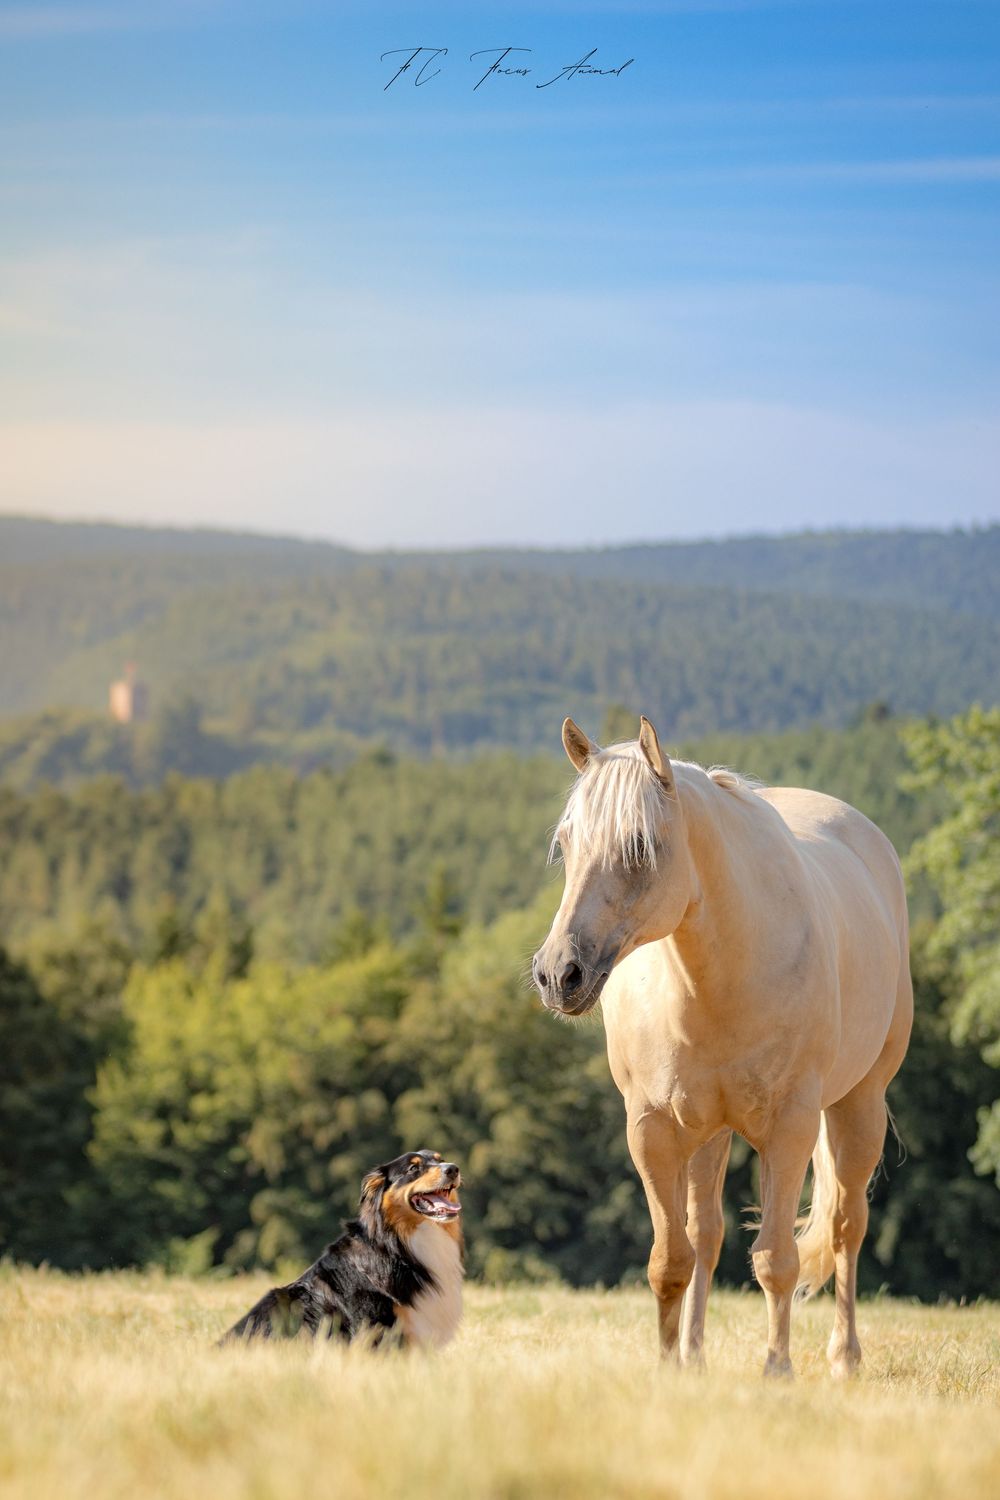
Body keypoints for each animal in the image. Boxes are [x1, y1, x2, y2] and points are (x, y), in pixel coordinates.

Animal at [532, 715, 912, 1378]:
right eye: (566, 844)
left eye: (640, 845)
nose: (559, 975)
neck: (717, 977)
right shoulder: (654, 1130)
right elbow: (672, 1259)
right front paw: (670, 1368)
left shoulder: (789, 1128)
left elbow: (777, 1260)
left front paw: (777, 1371)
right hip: (710, 1133)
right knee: (705, 1235)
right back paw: (695, 1355)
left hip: (858, 1104)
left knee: (847, 1225)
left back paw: (844, 1358)